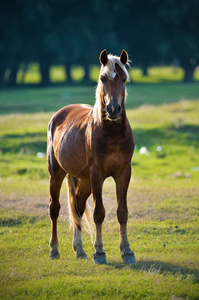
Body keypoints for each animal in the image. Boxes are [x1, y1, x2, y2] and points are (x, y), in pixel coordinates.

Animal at [47, 49, 136, 264]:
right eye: (103, 78)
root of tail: (58, 115)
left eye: (124, 79)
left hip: (84, 181)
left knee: (77, 207)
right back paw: (54, 250)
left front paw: (127, 251)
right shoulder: (97, 175)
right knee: (55, 209)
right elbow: (99, 213)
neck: (112, 134)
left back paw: (79, 249)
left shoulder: (123, 173)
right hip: (56, 174)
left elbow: (122, 212)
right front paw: (100, 252)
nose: (113, 109)